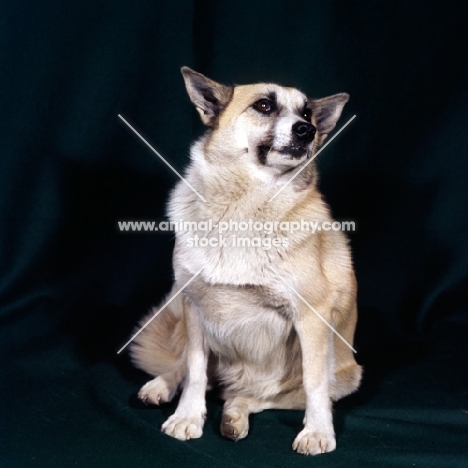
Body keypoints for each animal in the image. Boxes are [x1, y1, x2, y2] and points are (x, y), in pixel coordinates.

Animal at [128, 67, 362, 456]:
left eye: (307, 113)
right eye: (264, 106)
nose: (307, 130)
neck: (244, 207)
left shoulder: (311, 318)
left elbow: (315, 385)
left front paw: (317, 432)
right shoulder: (194, 308)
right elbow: (194, 370)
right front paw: (187, 417)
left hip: (346, 376)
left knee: (250, 396)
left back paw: (233, 416)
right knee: (196, 371)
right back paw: (162, 386)